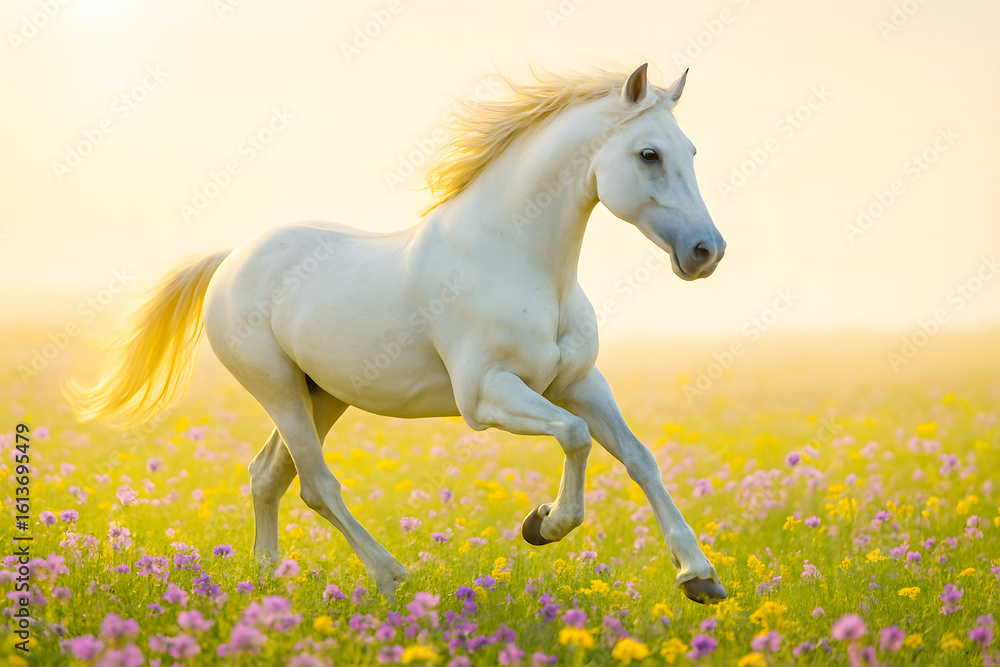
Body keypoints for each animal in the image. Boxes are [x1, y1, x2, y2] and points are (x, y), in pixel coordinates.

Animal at [66, 63, 728, 604]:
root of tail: (232, 259)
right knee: (316, 485)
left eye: (694, 151)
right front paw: (544, 525)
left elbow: (638, 457)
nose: (707, 252)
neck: (520, 261)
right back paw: (390, 577)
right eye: (648, 154)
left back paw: (266, 579)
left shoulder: (579, 382)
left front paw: (698, 577)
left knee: (268, 476)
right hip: (279, 390)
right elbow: (575, 437)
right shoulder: (486, 395)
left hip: (322, 394)